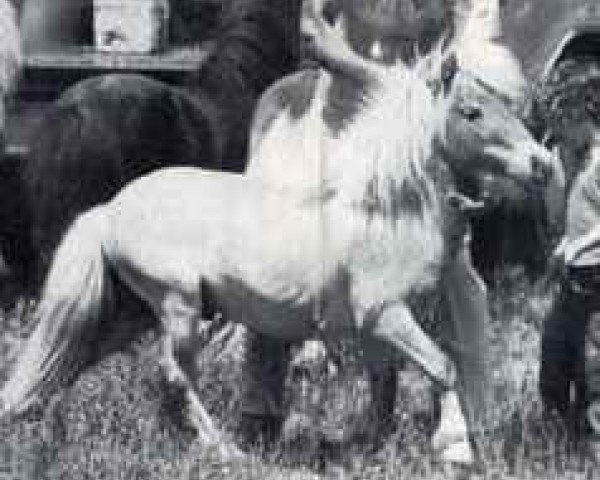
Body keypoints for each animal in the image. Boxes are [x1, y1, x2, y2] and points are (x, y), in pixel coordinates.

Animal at [1, 47, 556, 462]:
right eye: (471, 112)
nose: (543, 165)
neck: (384, 211)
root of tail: (109, 209)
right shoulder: (387, 315)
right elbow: (442, 367)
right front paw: (453, 449)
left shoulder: (378, 329)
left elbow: (385, 387)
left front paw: (361, 446)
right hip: (178, 308)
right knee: (175, 375)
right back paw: (224, 451)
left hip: (130, 312)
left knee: (76, 355)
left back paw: (45, 427)